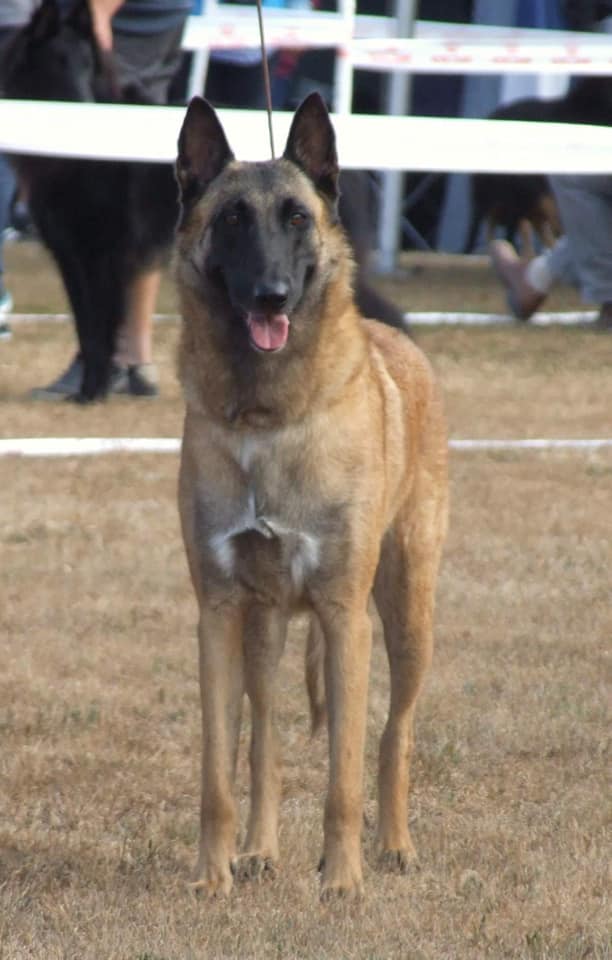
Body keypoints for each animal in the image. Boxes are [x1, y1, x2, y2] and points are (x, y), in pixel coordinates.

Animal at [3, 0, 178, 401]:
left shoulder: (100, 255)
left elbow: (98, 328)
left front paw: (91, 394)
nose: (85, 104)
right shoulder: (71, 253)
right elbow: (86, 326)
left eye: (87, 64)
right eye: (58, 63)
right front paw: (90, 388)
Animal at [174, 92, 448, 899]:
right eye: (233, 218)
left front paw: (342, 882)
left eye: (297, 217)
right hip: (263, 633)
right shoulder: (218, 614)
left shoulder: (343, 615)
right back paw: (260, 852)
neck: (270, 419)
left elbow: (342, 778)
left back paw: (392, 846)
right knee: (264, 741)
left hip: (407, 615)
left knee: (395, 734)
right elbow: (221, 773)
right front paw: (212, 878)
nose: (272, 294)